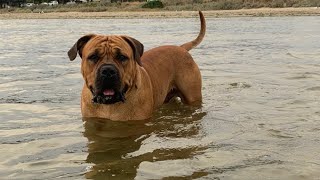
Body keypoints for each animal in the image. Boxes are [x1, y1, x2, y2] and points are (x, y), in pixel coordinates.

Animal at [68, 11, 206, 121]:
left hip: (193, 97)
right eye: (93, 57)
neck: (109, 107)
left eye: (122, 57)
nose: (108, 71)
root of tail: (181, 48)